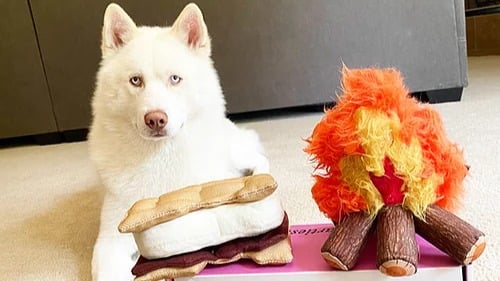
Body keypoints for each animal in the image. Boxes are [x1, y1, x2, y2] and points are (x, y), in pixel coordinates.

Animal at [88, 2, 272, 280]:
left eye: (175, 79)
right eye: (135, 80)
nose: (155, 119)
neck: (159, 157)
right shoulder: (111, 239)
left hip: (236, 154)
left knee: (259, 161)